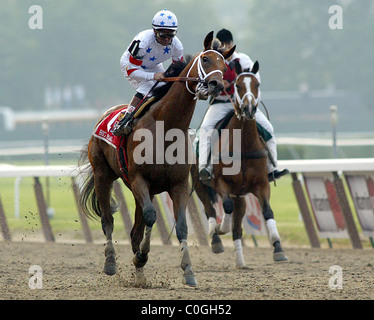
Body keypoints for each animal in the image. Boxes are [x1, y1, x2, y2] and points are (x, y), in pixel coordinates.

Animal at [77, 31, 235, 288]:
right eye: (205, 59)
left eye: (225, 65)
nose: (216, 84)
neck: (166, 127)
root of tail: (105, 114)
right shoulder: (139, 179)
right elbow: (151, 217)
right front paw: (141, 257)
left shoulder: (177, 184)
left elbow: (179, 226)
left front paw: (188, 271)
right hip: (104, 174)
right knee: (108, 220)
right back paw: (110, 263)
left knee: (135, 230)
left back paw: (139, 275)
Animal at [191, 60, 288, 268]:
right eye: (237, 85)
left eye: (257, 84)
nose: (249, 109)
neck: (244, 144)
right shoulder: (221, 182)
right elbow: (225, 206)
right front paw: (221, 228)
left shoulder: (261, 184)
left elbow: (267, 211)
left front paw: (278, 248)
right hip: (200, 184)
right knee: (210, 209)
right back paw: (216, 239)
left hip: (241, 197)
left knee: (237, 228)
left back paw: (240, 262)